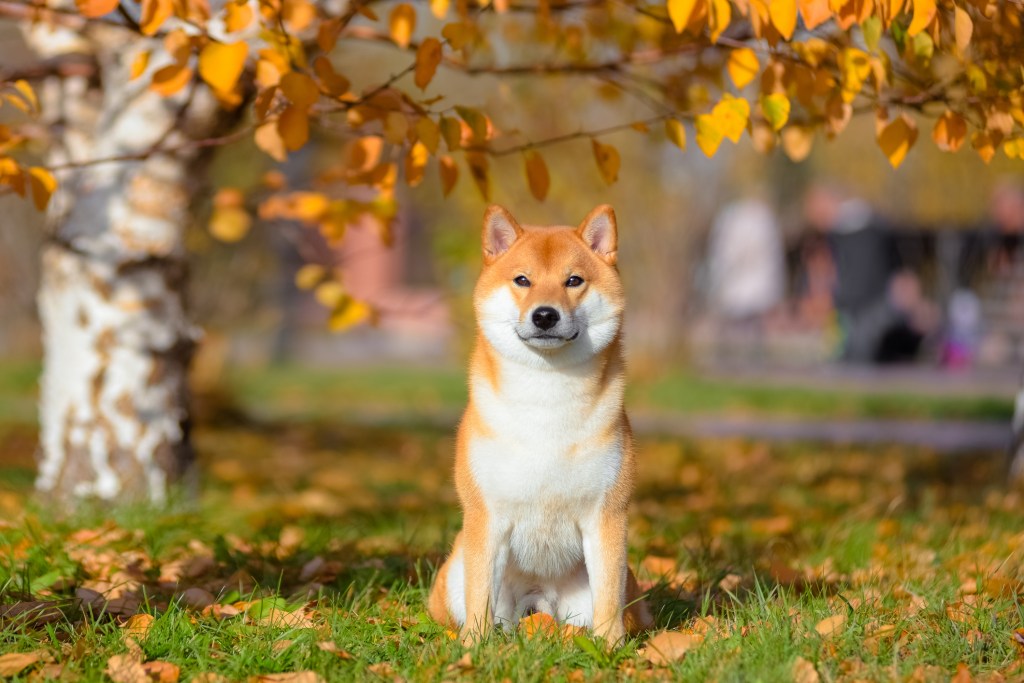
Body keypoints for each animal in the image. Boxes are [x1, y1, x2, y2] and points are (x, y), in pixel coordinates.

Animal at [428, 202, 651, 647]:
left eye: (573, 280)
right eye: (522, 280)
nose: (545, 314)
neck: (546, 399)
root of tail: (539, 598)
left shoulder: (607, 515)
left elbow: (608, 598)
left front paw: (611, 650)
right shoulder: (487, 516)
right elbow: (480, 594)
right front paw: (473, 648)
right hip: (458, 572)